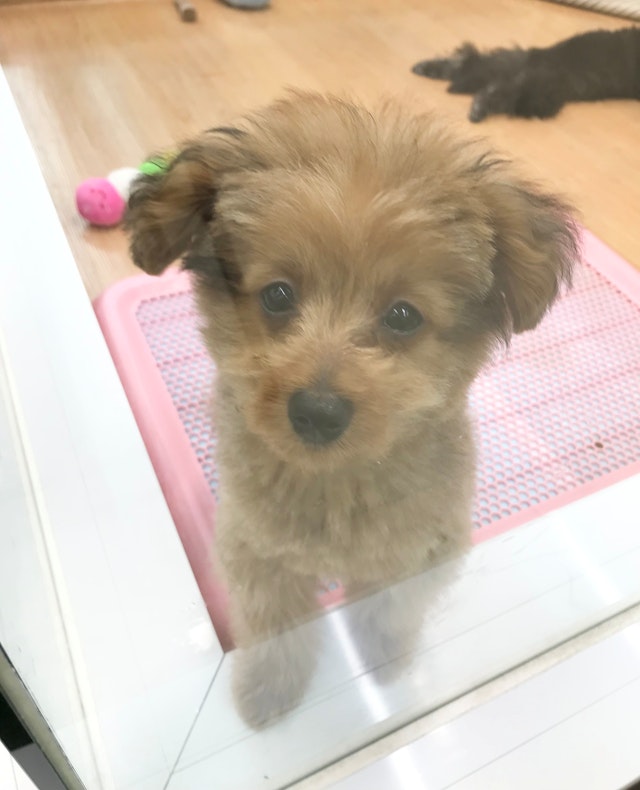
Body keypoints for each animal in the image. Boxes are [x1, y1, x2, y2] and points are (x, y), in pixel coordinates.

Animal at [125, 92, 578, 727]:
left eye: (403, 315)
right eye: (277, 295)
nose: (317, 410)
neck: (336, 486)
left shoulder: (424, 551)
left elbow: (389, 609)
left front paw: (386, 656)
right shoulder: (256, 553)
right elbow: (277, 628)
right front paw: (270, 689)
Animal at [413, 27, 640, 122]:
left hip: (517, 68)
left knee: (473, 62)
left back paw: (427, 68)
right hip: (541, 91)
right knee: (500, 91)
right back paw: (479, 109)